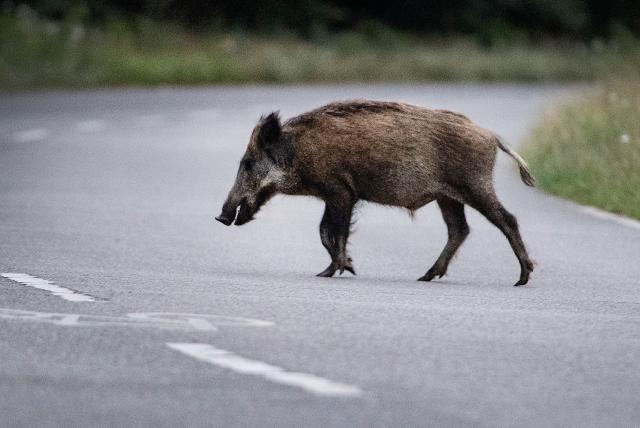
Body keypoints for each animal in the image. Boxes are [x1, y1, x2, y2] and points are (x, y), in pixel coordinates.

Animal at [216, 100, 535, 286]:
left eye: (248, 163)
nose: (220, 217)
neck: (296, 153)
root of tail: (492, 137)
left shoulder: (340, 191)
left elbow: (334, 231)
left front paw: (331, 272)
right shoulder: (335, 194)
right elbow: (323, 232)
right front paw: (346, 268)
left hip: (474, 185)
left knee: (507, 219)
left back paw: (522, 278)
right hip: (448, 197)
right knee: (460, 229)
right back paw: (425, 277)